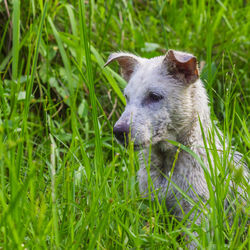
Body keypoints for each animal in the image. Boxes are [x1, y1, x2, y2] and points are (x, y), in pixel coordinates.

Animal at [104, 48, 248, 227]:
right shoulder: (150, 204)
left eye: (154, 96)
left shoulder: (197, 213)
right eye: (127, 97)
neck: (168, 162)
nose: (118, 131)